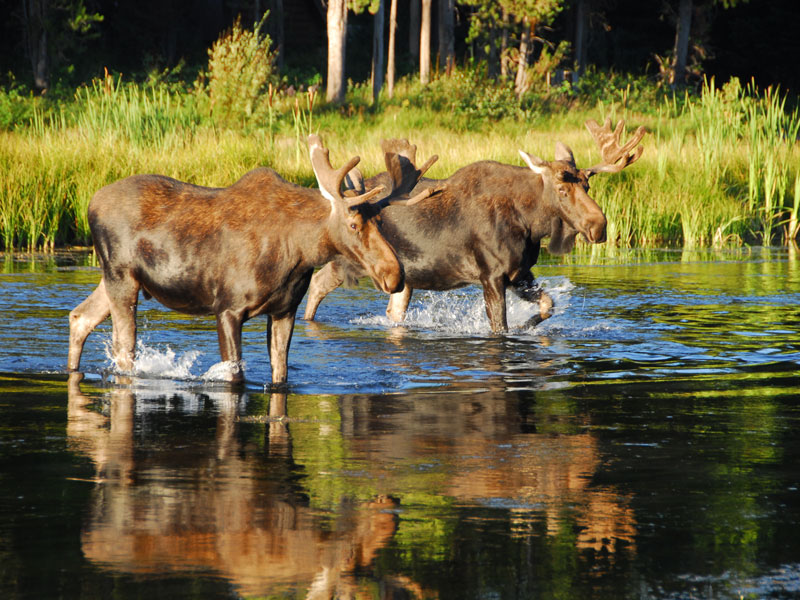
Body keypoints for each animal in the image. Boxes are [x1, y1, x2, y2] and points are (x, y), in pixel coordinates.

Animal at [67, 135, 432, 384]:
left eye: (381, 222)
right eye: (354, 224)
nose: (394, 274)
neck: (299, 252)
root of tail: (89, 205)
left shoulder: (285, 310)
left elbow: (280, 375)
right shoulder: (227, 308)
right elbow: (235, 376)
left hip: (114, 279)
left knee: (79, 317)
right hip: (121, 277)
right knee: (122, 347)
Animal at [304, 118, 648, 332]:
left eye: (587, 187)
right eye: (563, 190)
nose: (599, 226)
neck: (530, 223)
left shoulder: (519, 273)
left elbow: (548, 305)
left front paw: (527, 326)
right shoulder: (491, 274)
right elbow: (499, 327)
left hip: (403, 277)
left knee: (392, 310)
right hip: (355, 261)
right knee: (317, 282)